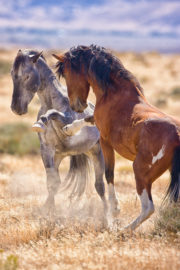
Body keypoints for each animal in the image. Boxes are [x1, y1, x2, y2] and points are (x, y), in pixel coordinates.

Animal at [10, 49, 107, 213]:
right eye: (12, 74)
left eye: (27, 75)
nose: (16, 108)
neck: (50, 101)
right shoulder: (47, 149)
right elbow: (53, 182)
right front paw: (48, 209)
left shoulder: (66, 121)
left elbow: (55, 115)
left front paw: (40, 122)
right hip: (61, 155)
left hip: (96, 152)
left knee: (100, 186)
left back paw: (111, 211)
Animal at [52, 44, 180, 230]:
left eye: (67, 73)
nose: (76, 106)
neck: (116, 93)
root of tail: (176, 135)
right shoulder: (98, 121)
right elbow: (88, 118)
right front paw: (68, 128)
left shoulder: (105, 141)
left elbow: (109, 174)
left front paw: (115, 208)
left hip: (140, 171)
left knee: (148, 207)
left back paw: (123, 229)